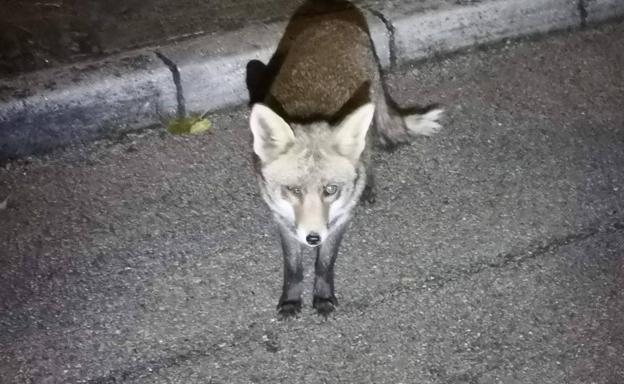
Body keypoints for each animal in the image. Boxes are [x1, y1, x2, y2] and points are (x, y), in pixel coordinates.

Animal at [246, 0, 442, 318]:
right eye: (293, 190)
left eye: (331, 190)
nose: (313, 238)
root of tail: (337, 19)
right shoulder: (281, 218)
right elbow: (293, 268)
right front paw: (291, 299)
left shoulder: (340, 218)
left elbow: (325, 263)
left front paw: (323, 297)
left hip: (367, 121)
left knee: (368, 154)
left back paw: (368, 186)